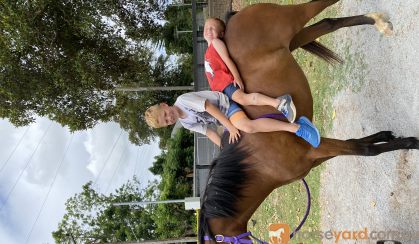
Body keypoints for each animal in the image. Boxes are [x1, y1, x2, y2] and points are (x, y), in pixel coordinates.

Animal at [199, 0, 418, 243]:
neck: (258, 162)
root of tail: (233, 21)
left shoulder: (315, 148)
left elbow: (365, 151)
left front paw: (411, 143)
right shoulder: (316, 155)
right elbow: (357, 143)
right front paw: (385, 136)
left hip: (292, 20)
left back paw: (378, 22)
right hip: (294, 39)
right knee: (327, 24)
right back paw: (378, 22)